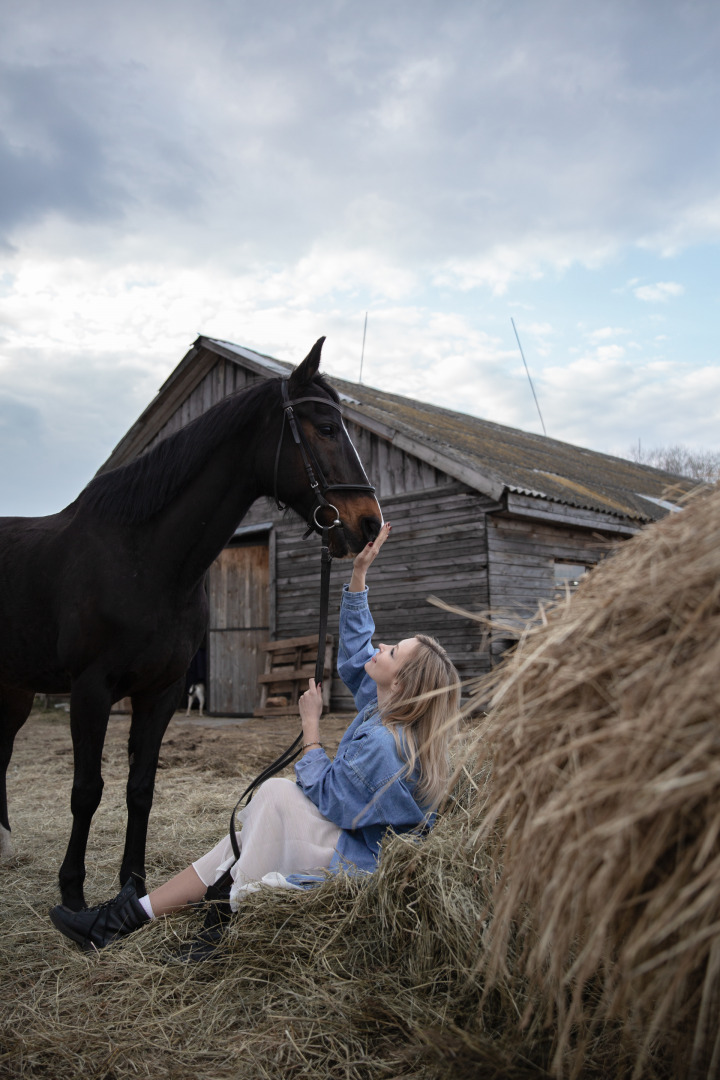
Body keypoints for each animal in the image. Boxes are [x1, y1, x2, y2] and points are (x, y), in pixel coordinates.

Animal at [0, 336, 382, 911]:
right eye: (325, 428)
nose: (370, 523)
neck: (143, 559)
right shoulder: (90, 690)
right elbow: (86, 789)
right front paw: (72, 895)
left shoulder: (161, 691)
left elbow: (140, 788)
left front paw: (132, 886)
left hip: (16, 690)